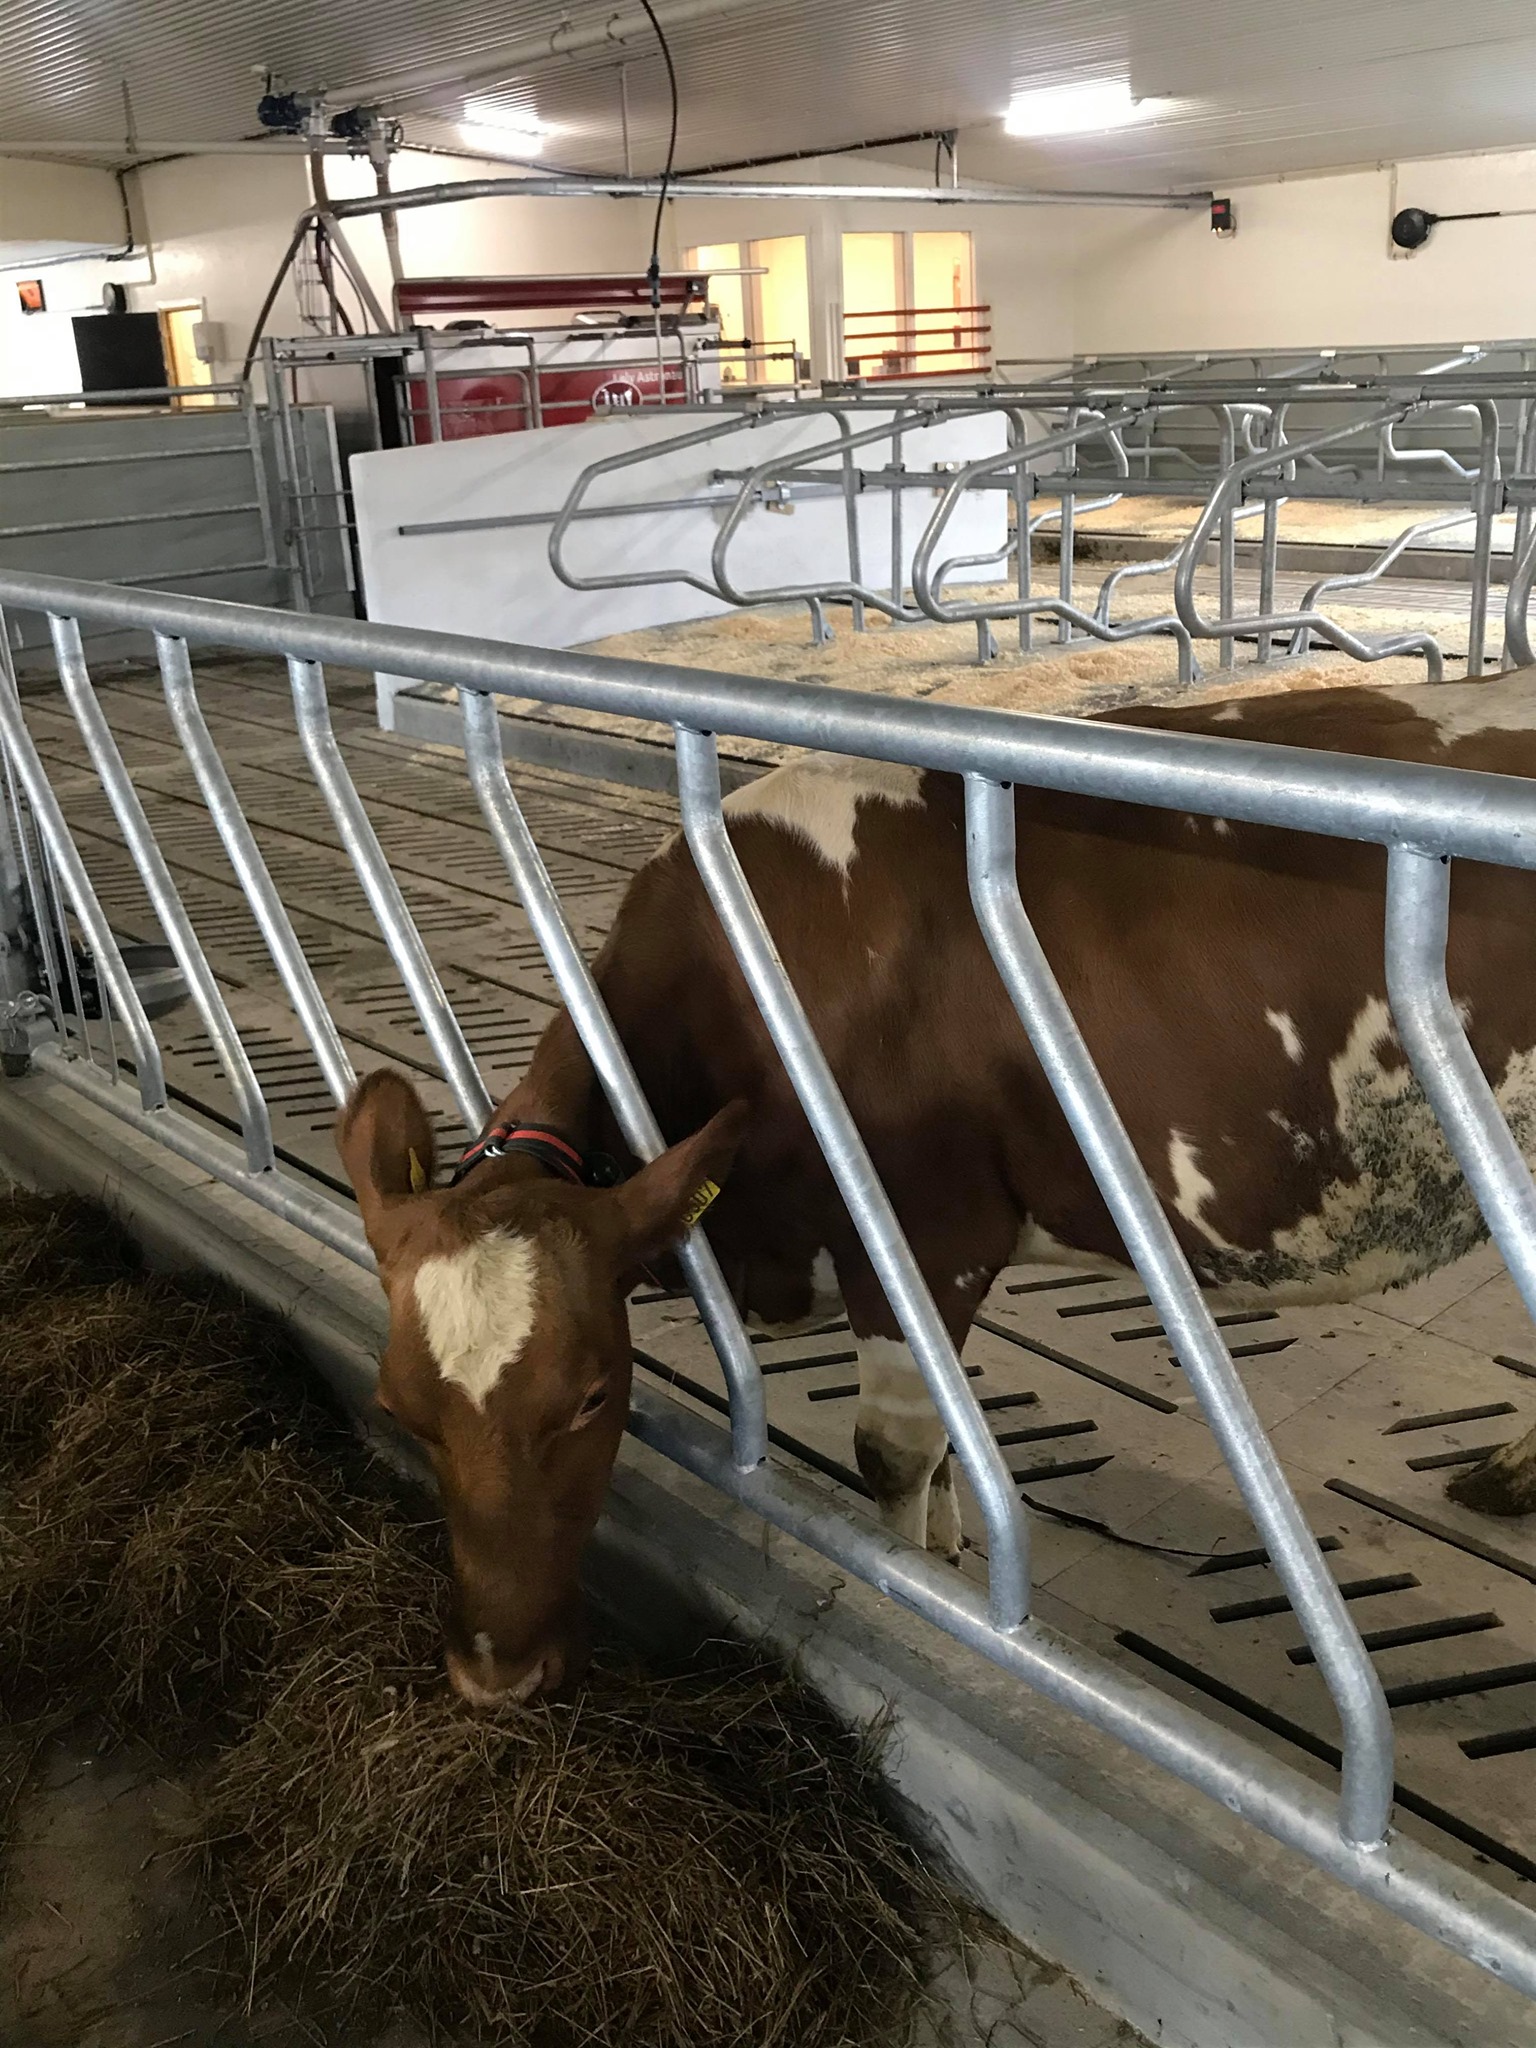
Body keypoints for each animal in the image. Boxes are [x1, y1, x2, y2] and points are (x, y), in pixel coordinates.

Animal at [338, 676, 1536, 1706]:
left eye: (592, 1397)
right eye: (397, 1408)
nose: (494, 1674)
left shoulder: (922, 1233)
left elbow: (895, 1450)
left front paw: (920, 1601)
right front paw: (960, 1553)